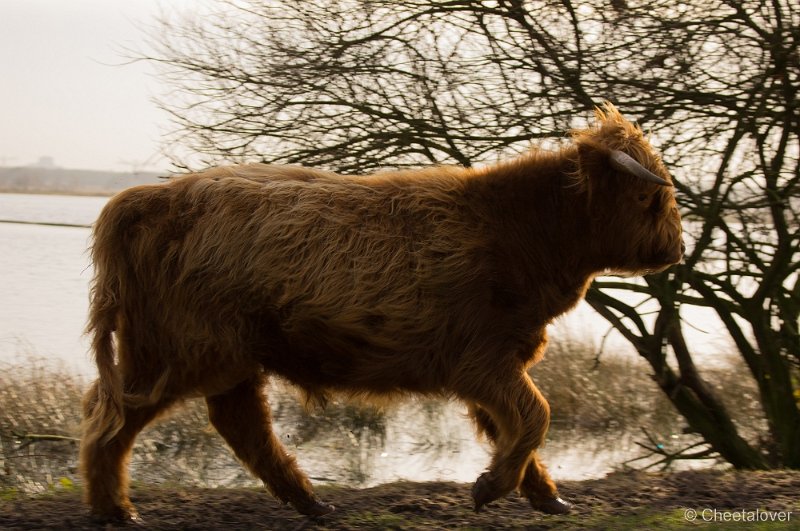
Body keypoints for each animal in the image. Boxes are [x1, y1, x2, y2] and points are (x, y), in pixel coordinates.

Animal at [79, 102, 680, 520]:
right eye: (651, 198)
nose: (675, 248)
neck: (521, 232)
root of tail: (146, 198)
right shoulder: (482, 360)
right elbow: (537, 414)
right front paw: (492, 488)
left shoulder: (497, 364)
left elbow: (516, 427)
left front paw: (544, 497)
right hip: (179, 352)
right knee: (115, 419)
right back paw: (117, 511)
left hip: (223, 359)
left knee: (240, 426)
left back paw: (314, 505)